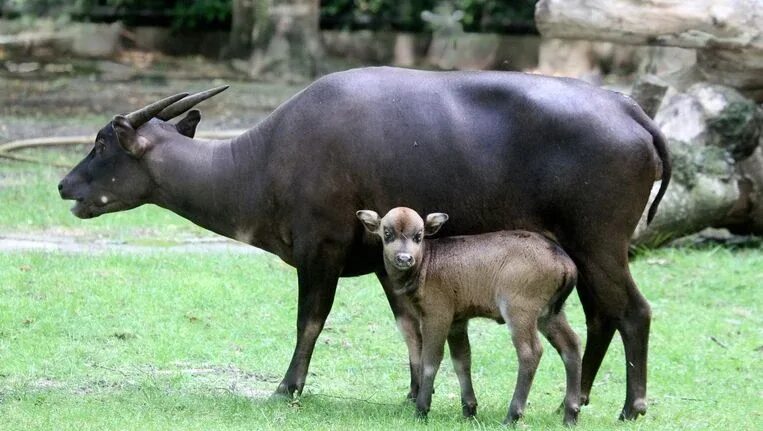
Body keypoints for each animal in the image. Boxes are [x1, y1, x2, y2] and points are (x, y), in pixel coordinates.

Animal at [358, 208, 584, 426]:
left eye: (418, 235)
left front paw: (421, 410)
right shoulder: (458, 321)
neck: (426, 265)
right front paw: (469, 410)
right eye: (387, 233)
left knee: (530, 352)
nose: (404, 258)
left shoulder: (436, 315)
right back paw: (570, 415)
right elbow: (462, 360)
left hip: (519, 311)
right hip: (550, 314)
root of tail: (565, 262)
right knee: (571, 344)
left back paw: (511, 416)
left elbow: (430, 360)